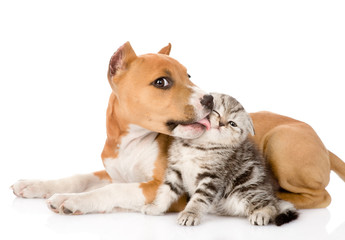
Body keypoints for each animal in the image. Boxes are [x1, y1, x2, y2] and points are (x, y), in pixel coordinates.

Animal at [141, 93, 296, 226]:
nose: (221, 123)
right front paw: (155, 207)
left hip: (247, 189)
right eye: (216, 112)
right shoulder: (176, 171)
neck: (198, 146)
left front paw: (190, 214)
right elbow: (165, 191)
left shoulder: (212, 177)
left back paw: (262, 214)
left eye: (232, 123)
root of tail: (271, 193)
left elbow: (198, 199)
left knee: (270, 205)